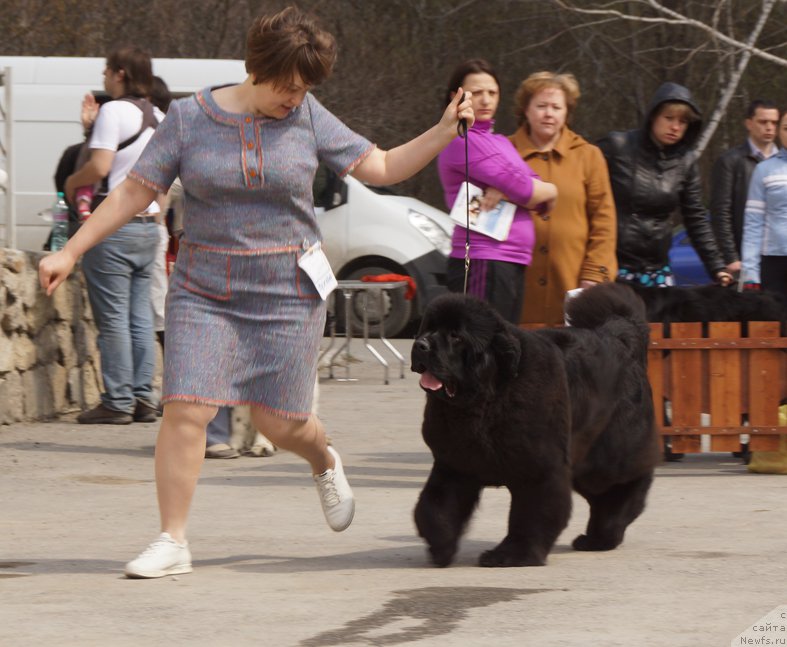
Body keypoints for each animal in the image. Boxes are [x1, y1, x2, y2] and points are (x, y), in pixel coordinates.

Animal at [410, 284, 660, 568]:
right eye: (427, 329)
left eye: (456, 337)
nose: (420, 345)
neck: (486, 399)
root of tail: (621, 334)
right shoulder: (455, 466)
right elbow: (435, 507)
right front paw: (440, 546)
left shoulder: (538, 469)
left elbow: (529, 515)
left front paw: (512, 555)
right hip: (581, 456)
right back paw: (596, 538)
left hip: (606, 453)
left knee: (621, 485)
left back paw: (606, 534)